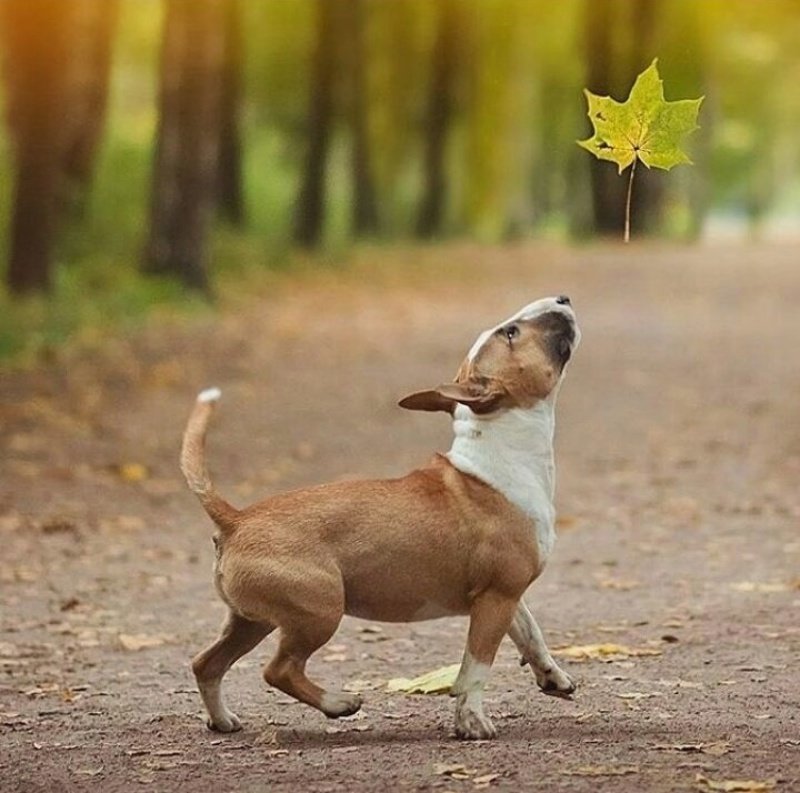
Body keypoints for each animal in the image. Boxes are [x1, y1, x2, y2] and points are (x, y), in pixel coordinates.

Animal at [181, 294, 580, 740]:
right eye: (511, 333)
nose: (562, 298)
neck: (502, 452)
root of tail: (236, 520)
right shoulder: (496, 597)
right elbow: (476, 666)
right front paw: (472, 721)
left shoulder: (505, 594)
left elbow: (531, 633)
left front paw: (553, 677)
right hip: (320, 609)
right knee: (278, 670)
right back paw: (338, 704)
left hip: (251, 620)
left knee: (207, 663)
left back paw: (222, 720)